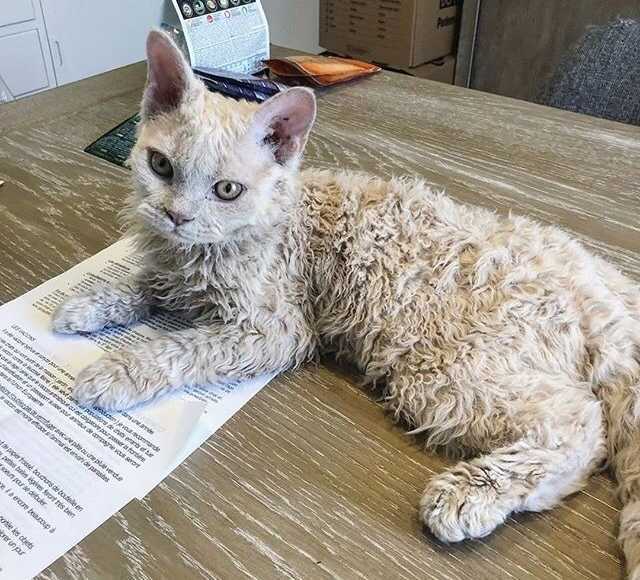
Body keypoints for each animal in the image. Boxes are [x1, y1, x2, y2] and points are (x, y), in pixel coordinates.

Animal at [52, 30, 640, 576]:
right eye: (160, 166)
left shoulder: (274, 330)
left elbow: (178, 348)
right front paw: (86, 304)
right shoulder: (173, 272)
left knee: (579, 424)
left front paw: (116, 372)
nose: (177, 216)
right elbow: (143, 284)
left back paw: (471, 494)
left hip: (444, 373)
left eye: (226, 191)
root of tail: (600, 285)